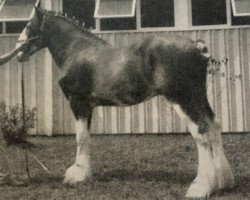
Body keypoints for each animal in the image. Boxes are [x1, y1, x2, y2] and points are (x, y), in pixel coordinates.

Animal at [10, 4, 233, 198]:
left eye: (28, 25)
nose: (18, 51)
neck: (77, 51)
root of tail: (196, 46)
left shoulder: (78, 102)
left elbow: (80, 137)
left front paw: (77, 175)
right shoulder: (89, 106)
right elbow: (86, 137)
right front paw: (85, 173)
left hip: (182, 98)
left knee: (201, 131)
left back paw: (200, 187)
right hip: (198, 96)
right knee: (214, 126)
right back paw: (223, 182)